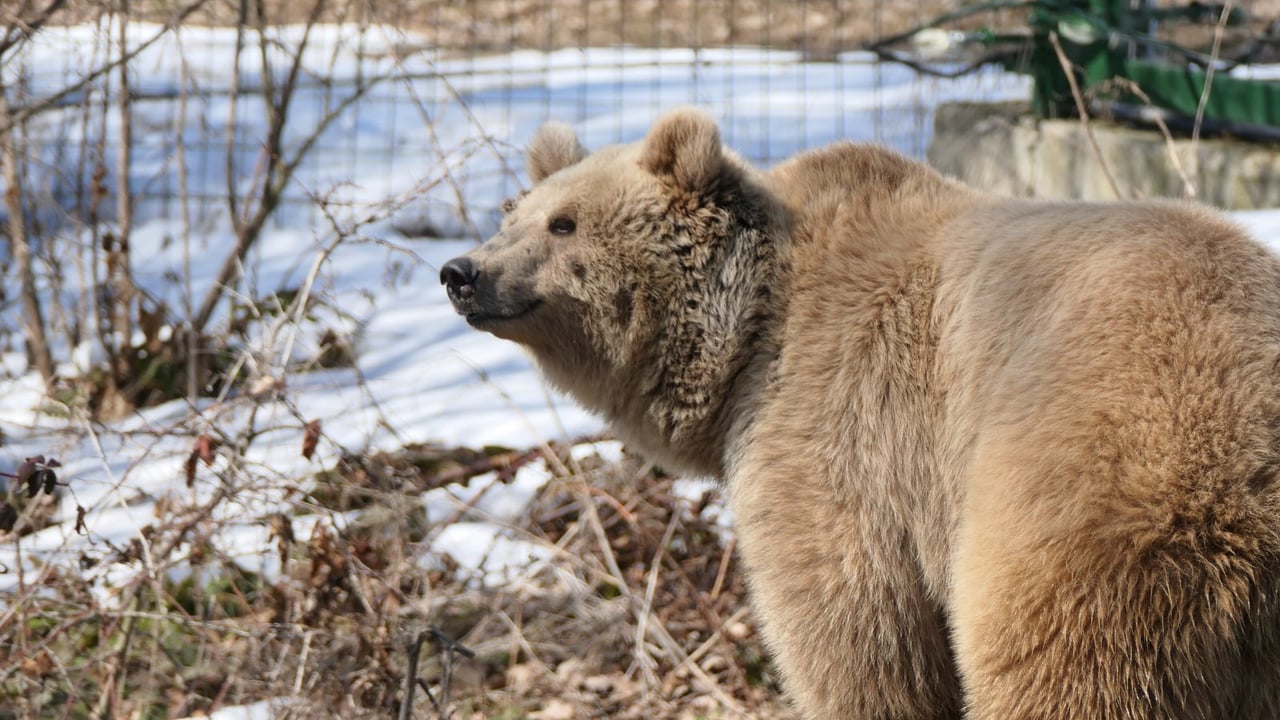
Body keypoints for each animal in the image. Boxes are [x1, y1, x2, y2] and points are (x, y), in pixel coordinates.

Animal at [440, 109, 1280, 712]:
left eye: (565, 223)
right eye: (514, 212)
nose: (461, 271)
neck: (748, 329)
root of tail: (1245, 476)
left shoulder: (837, 422)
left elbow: (852, 631)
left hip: (1088, 515)